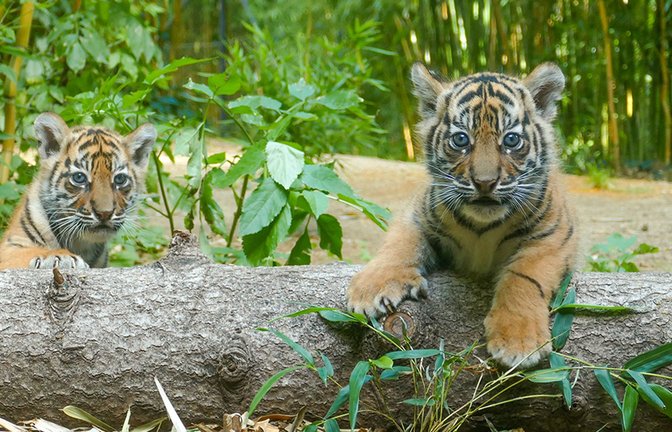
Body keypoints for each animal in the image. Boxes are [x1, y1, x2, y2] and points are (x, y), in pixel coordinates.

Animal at [0, 112, 156, 270]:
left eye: (119, 179)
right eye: (79, 177)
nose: (105, 214)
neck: (81, 244)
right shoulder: (9, 247)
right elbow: (32, 251)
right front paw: (59, 257)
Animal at [347, 62, 578, 369]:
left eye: (511, 140)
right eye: (461, 140)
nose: (485, 183)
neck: (483, 226)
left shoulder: (554, 235)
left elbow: (524, 277)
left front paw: (519, 341)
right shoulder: (417, 216)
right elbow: (398, 247)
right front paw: (370, 289)